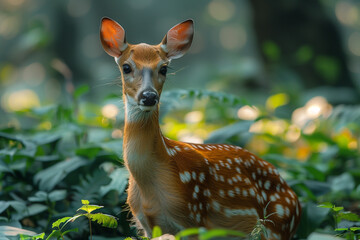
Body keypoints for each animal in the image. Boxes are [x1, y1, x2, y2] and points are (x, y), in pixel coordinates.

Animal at [99, 17, 300, 240]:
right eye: (126, 67)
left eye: (164, 68)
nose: (149, 96)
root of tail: (296, 201)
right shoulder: (148, 224)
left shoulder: (194, 217)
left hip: (277, 224)